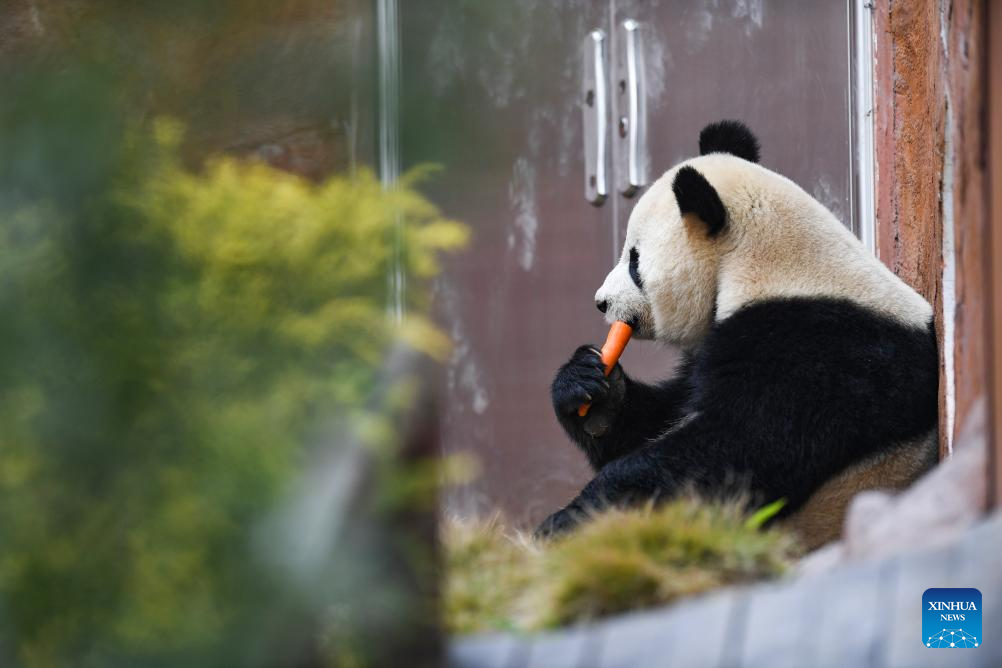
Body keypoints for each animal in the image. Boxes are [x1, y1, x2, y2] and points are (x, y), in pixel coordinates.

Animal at [541, 120, 937, 548]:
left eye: (634, 261)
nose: (601, 302)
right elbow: (660, 417)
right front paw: (591, 389)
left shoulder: (817, 349)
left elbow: (740, 449)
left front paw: (572, 517)